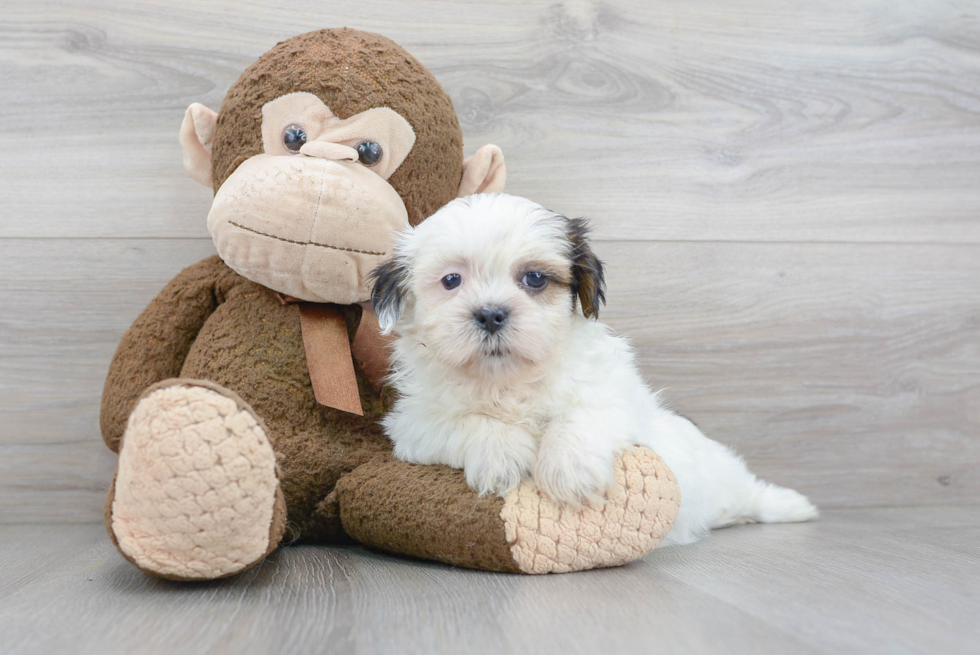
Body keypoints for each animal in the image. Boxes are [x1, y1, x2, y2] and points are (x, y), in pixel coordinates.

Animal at [372, 195, 816, 548]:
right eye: (451, 280)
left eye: (534, 278)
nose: (491, 314)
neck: (508, 380)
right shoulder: (415, 423)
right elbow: (469, 421)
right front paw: (502, 454)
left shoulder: (614, 394)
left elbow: (580, 415)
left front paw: (570, 472)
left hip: (722, 475)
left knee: (750, 490)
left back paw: (791, 506)